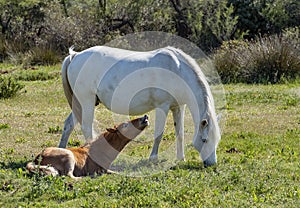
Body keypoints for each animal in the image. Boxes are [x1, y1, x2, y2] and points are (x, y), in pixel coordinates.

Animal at [59, 46, 223, 167]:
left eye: (217, 139)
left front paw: (180, 158)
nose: (212, 164)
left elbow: (180, 133)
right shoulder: (162, 107)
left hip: (79, 104)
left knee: (69, 125)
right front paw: (153, 158)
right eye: (204, 140)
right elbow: (159, 133)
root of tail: (75, 56)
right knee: (86, 127)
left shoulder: (178, 107)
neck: (176, 70)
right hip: (86, 102)